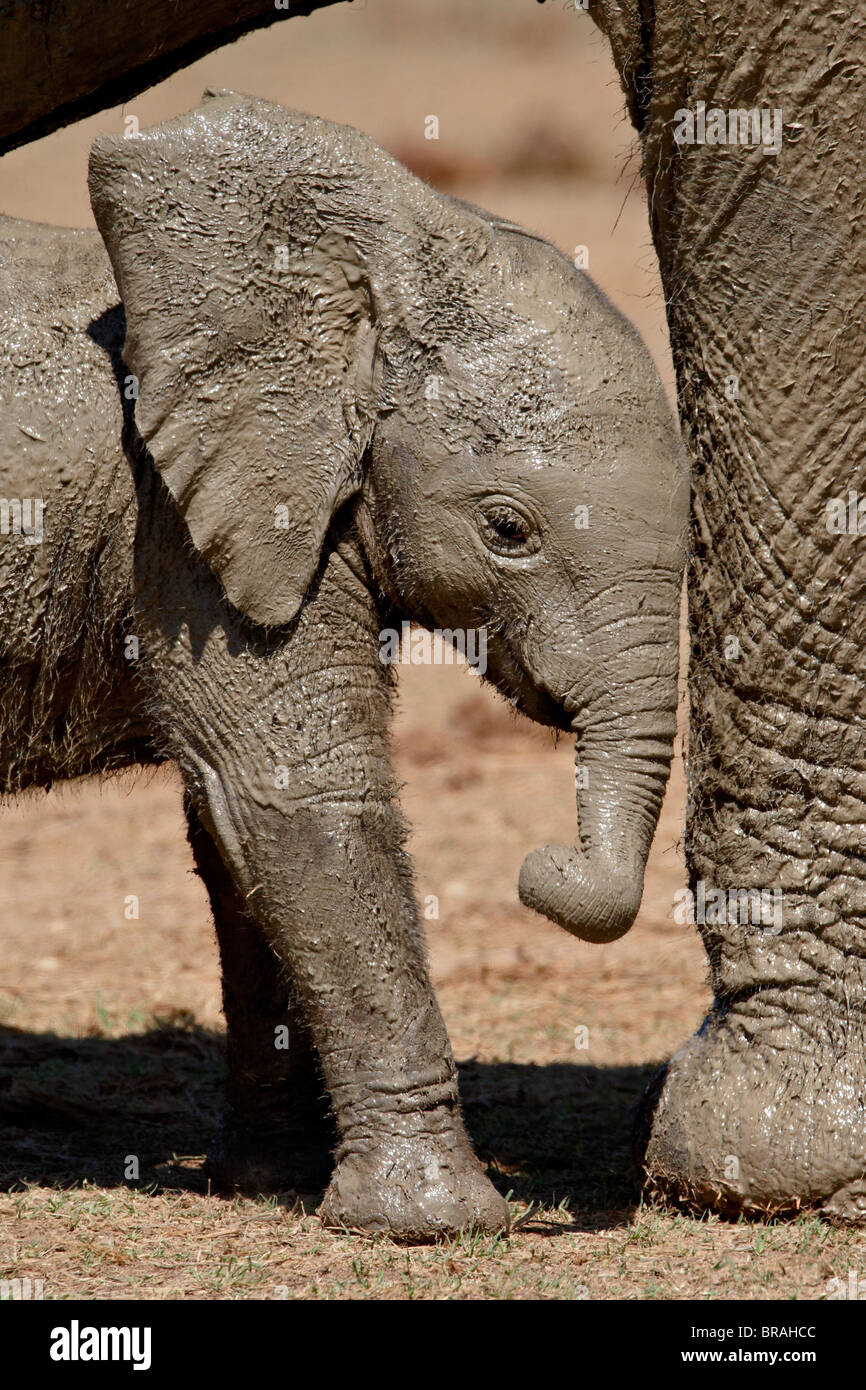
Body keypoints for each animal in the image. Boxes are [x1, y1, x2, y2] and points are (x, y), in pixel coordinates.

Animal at [0, 91, 687, 1240]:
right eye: (506, 529)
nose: (540, 865)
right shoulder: (175, 527)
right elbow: (298, 795)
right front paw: (437, 1222)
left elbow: (232, 829)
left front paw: (271, 1183)